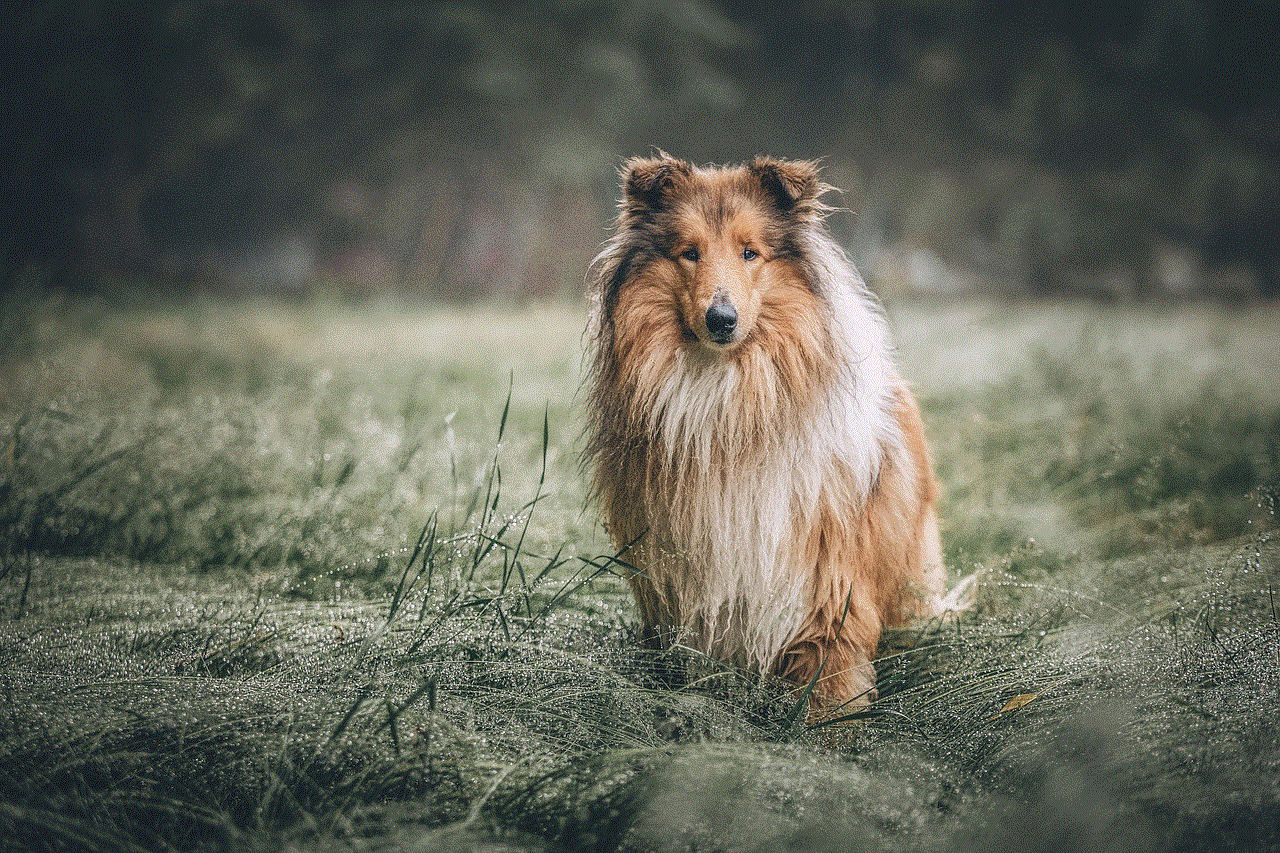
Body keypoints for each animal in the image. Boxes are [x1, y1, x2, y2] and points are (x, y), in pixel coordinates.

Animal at [586, 154, 947, 712]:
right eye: (689, 253)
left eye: (750, 252)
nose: (721, 319)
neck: (726, 396)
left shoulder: (826, 576)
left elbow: (830, 666)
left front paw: (830, 724)